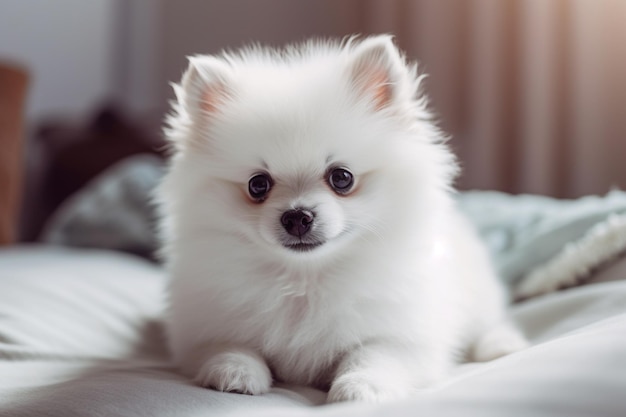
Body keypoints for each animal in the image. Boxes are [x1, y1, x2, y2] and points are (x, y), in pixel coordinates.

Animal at [157, 36, 528, 404]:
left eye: (341, 178)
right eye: (257, 184)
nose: (297, 216)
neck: (306, 279)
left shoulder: (404, 335)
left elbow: (373, 353)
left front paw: (361, 387)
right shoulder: (201, 330)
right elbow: (229, 344)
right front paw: (235, 372)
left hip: (478, 295)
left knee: (488, 323)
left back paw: (502, 345)